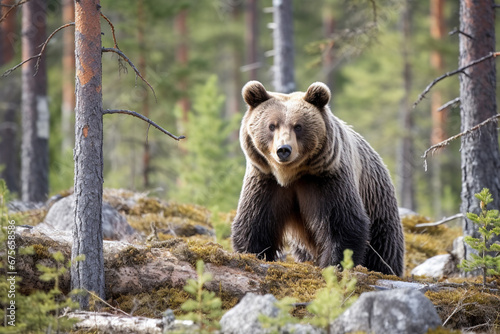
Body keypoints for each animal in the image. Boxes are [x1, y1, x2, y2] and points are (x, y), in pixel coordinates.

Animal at [232, 81, 404, 276]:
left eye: (298, 126)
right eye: (272, 125)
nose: (283, 149)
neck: (290, 174)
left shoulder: (326, 179)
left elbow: (342, 224)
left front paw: (334, 264)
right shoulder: (266, 180)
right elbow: (255, 222)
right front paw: (252, 253)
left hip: (377, 203)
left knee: (383, 247)